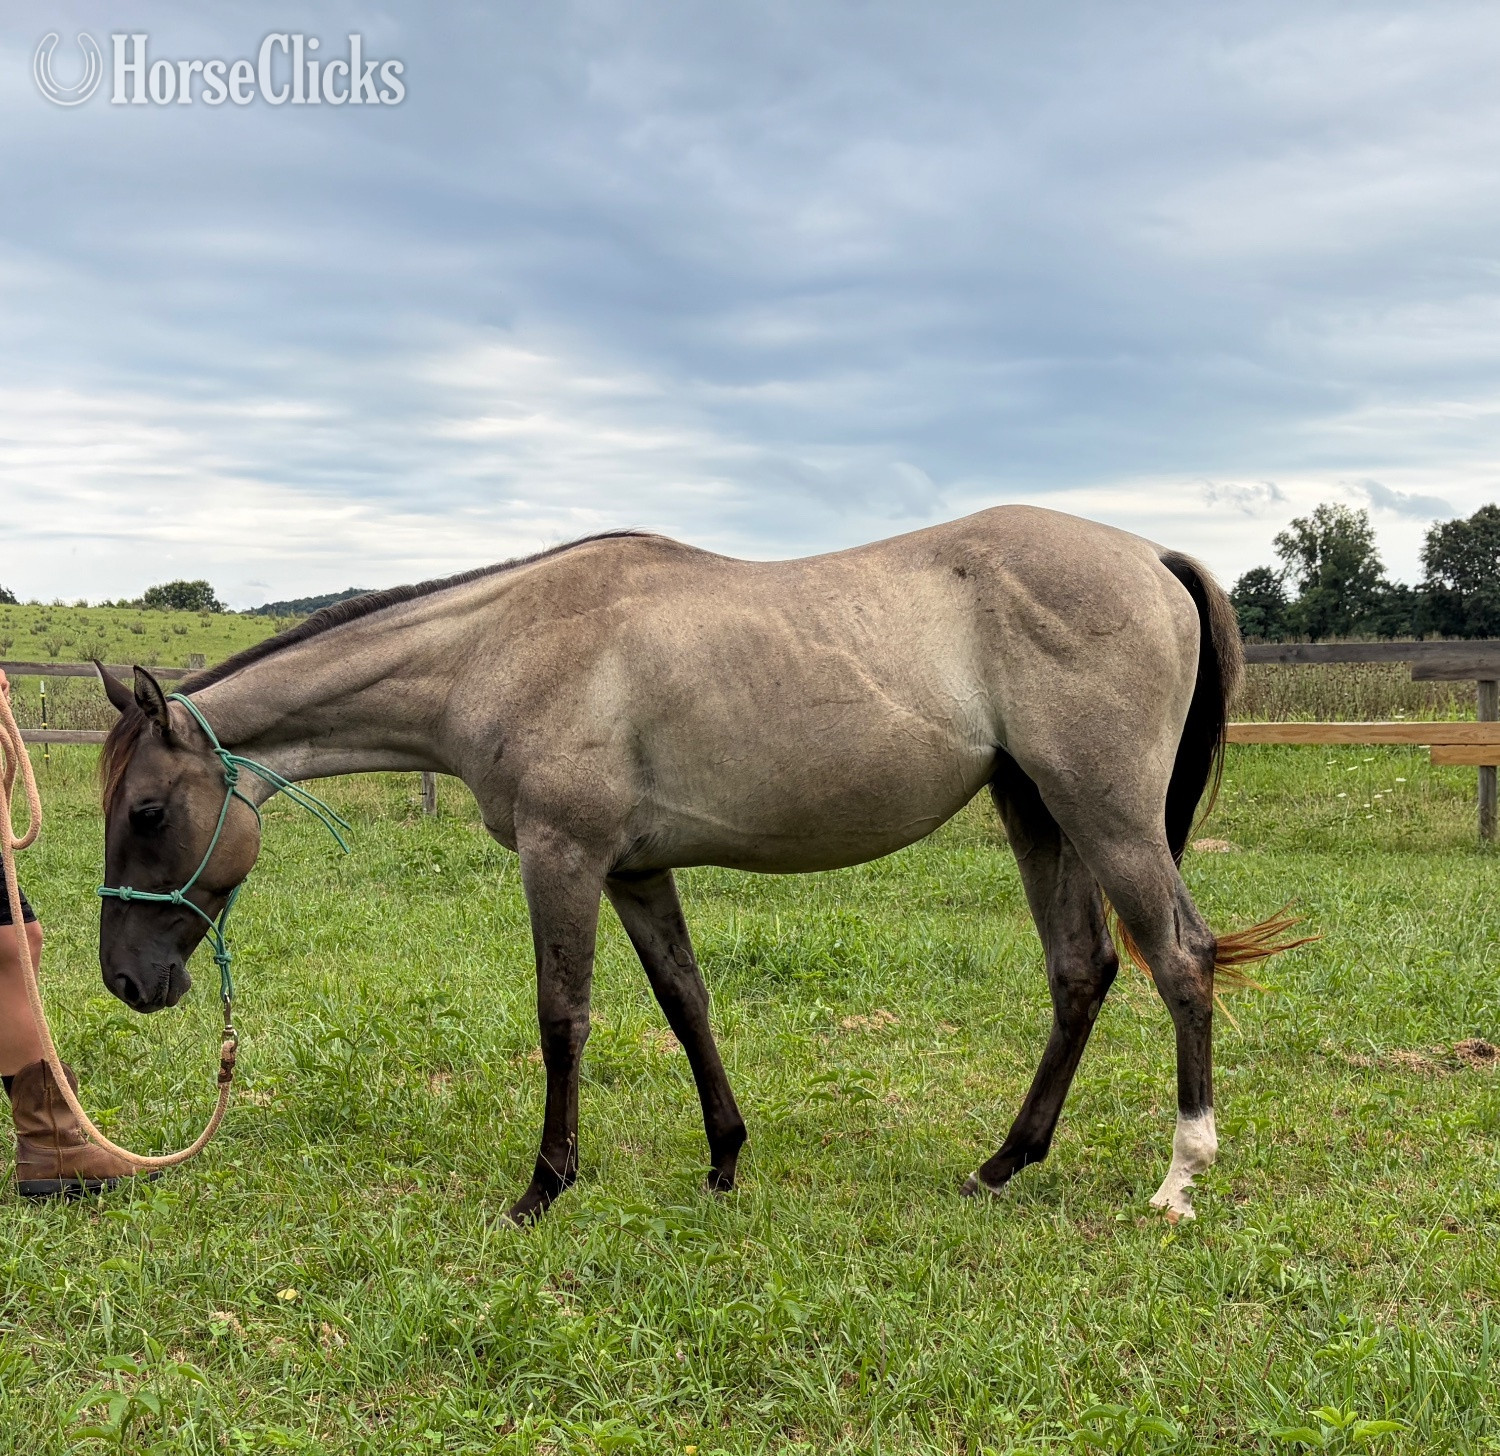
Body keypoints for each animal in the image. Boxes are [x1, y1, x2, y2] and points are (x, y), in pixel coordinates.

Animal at [94, 505, 1293, 1224]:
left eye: (147, 810)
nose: (125, 978)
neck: (505, 645)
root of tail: (1150, 557)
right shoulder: (632, 871)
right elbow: (684, 1001)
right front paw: (724, 1159)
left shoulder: (563, 859)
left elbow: (562, 1017)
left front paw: (543, 1187)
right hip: (1038, 812)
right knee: (1081, 972)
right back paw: (1002, 1163)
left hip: (1107, 816)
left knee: (1181, 961)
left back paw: (1180, 1175)